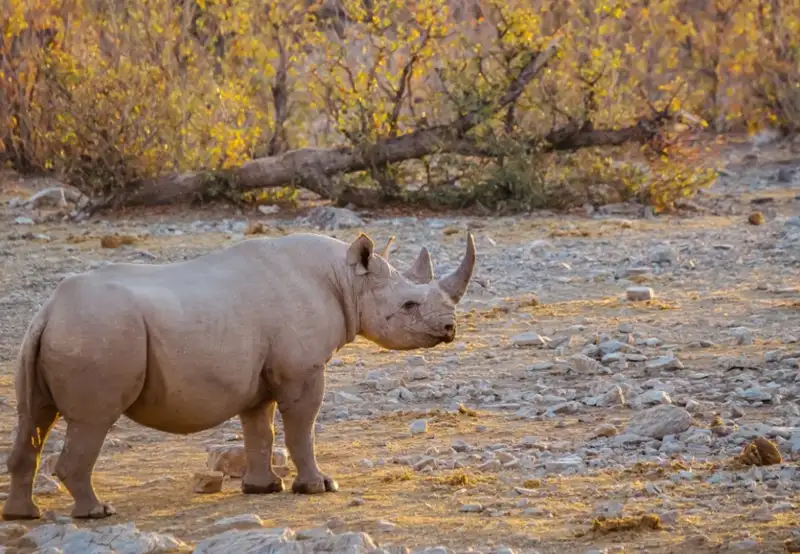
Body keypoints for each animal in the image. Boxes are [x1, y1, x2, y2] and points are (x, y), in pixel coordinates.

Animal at [2, 231, 476, 520]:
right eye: (410, 305)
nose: (450, 329)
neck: (347, 280)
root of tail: (48, 310)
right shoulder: (302, 370)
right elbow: (301, 428)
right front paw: (319, 486)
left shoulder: (260, 377)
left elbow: (259, 430)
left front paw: (261, 489)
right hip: (98, 332)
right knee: (92, 420)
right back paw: (97, 513)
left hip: (54, 335)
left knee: (35, 418)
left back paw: (24, 514)